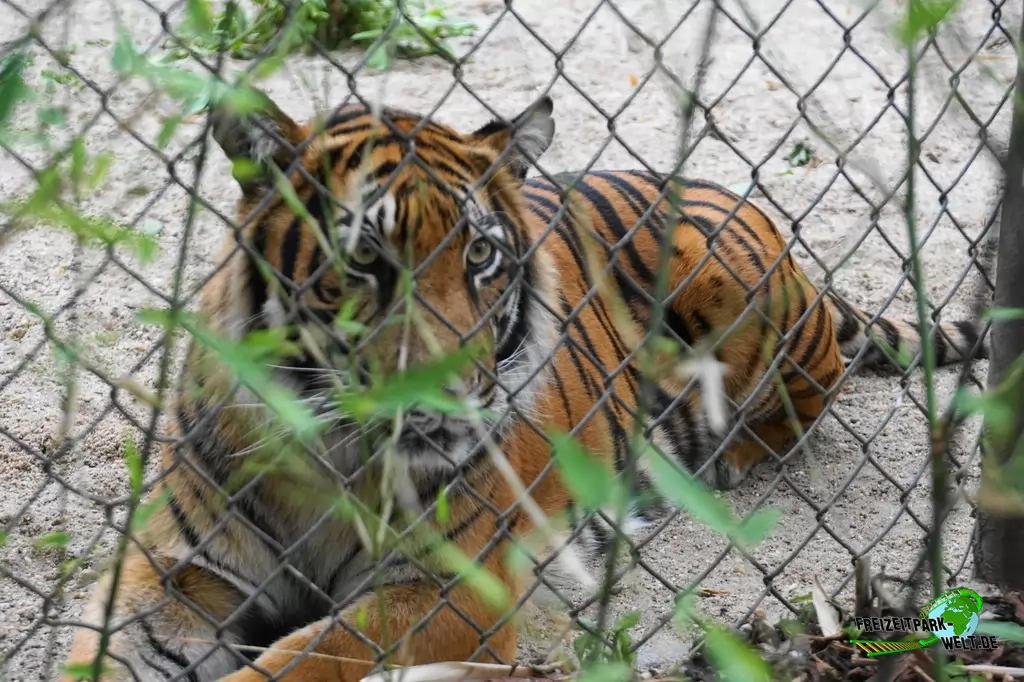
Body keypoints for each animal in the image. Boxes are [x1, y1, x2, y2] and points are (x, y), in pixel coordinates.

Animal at [62, 90, 986, 682]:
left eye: (480, 256)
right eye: (364, 260)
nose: (450, 398)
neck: (328, 455)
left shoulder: (446, 591)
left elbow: (305, 659)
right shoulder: (175, 564)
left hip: (739, 288)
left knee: (810, 394)